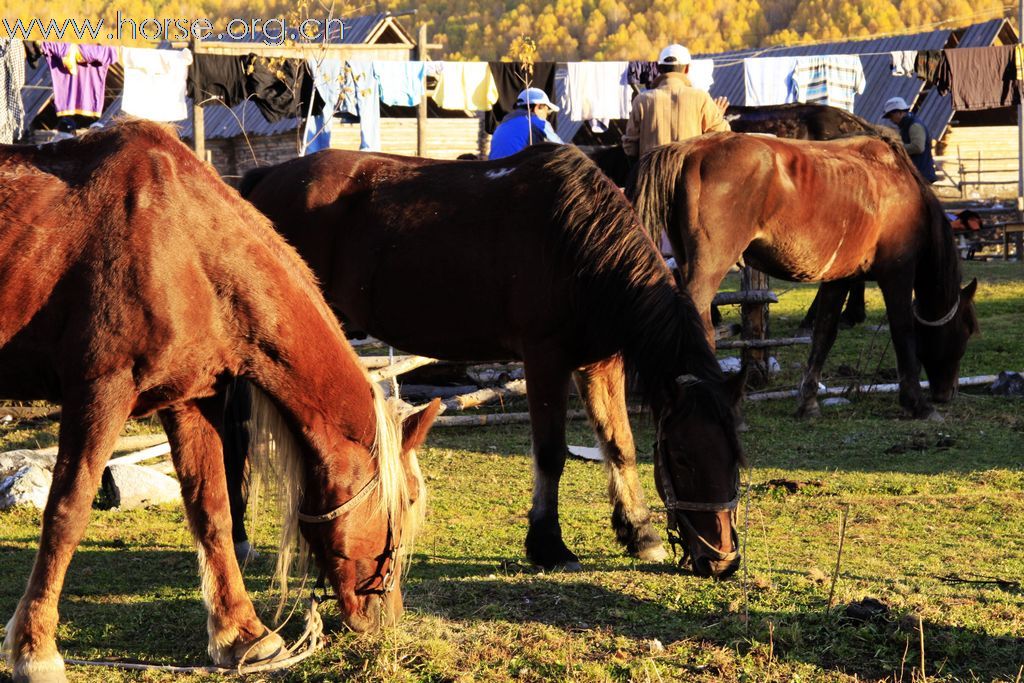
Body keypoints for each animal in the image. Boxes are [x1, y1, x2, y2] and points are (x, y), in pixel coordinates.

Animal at [0, 121, 436, 683]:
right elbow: (67, 514)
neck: (184, 244)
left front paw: (242, 636)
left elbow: (213, 512)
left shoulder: (190, 400)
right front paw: (35, 650)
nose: (386, 617)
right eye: (405, 501)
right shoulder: (100, 392)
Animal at [236, 144, 749, 577]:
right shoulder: (545, 358)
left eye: (735, 456)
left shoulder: (600, 362)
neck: (576, 241)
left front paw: (639, 533)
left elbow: (619, 444)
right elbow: (550, 454)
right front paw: (549, 545)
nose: (720, 560)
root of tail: (265, 179)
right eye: (681, 457)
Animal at [626, 133, 978, 419]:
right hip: (709, 267)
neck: (899, 186)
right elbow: (903, 331)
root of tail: (691, 150)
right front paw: (917, 402)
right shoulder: (898, 273)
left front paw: (807, 402)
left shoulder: (840, 278)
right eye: (967, 330)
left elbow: (823, 334)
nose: (947, 393)